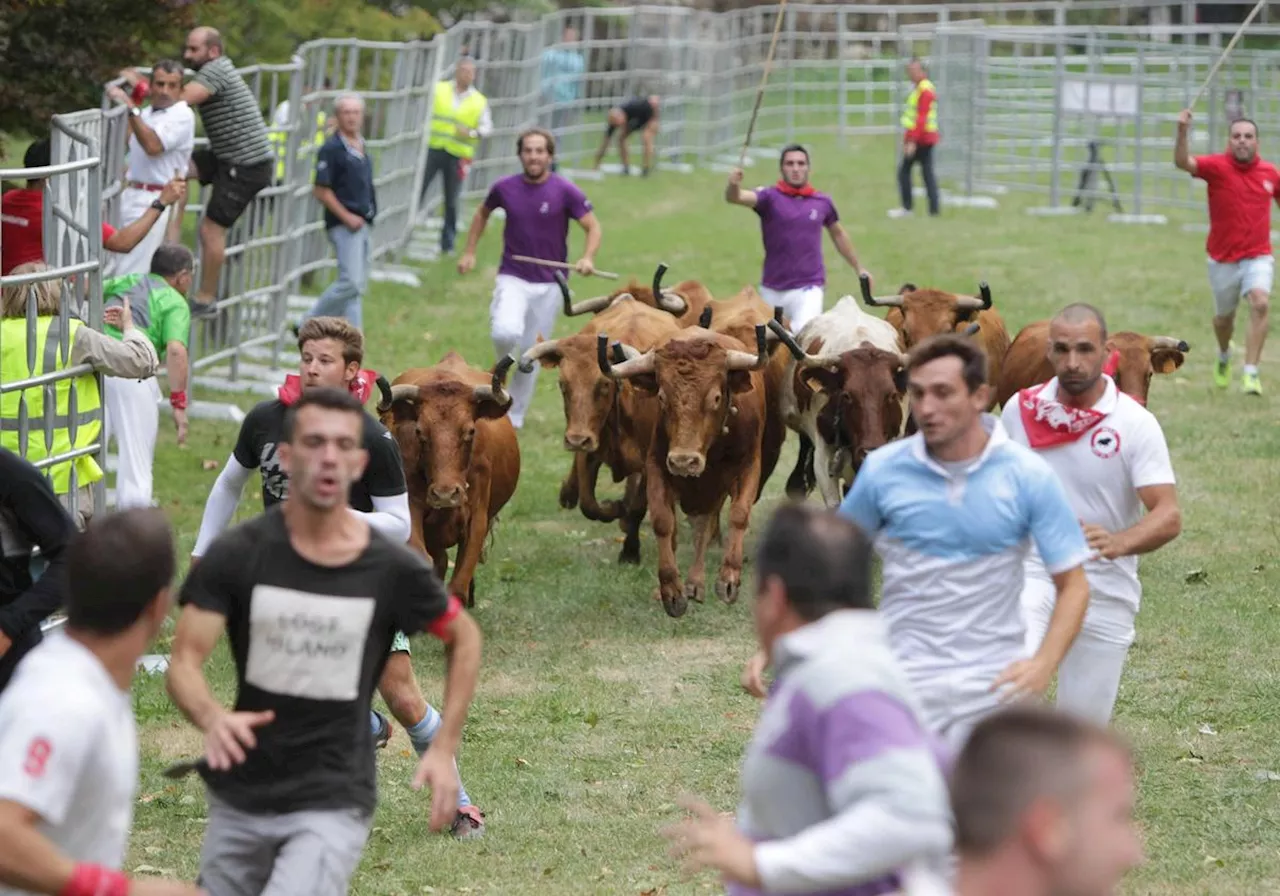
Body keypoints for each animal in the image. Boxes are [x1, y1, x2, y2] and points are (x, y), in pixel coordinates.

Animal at [373, 353, 519, 606]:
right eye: (419, 432)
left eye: (470, 431)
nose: (445, 495)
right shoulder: (412, 509)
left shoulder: (477, 518)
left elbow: (460, 582)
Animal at [519, 295, 686, 560]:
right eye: (562, 384)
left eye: (604, 384)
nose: (576, 439)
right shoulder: (588, 453)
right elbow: (590, 505)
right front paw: (613, 507)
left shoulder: (650, 463)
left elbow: (637, 507)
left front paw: (630, 550)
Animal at [599, 323, 768, 622]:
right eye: (662, 397)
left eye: (715, 397)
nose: (683, 461)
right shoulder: (656, 467)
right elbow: (663, 523)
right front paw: (671, 592)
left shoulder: (748, 467)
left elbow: (737, 516)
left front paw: (728, 580)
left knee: (704, 527)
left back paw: (695, 584)